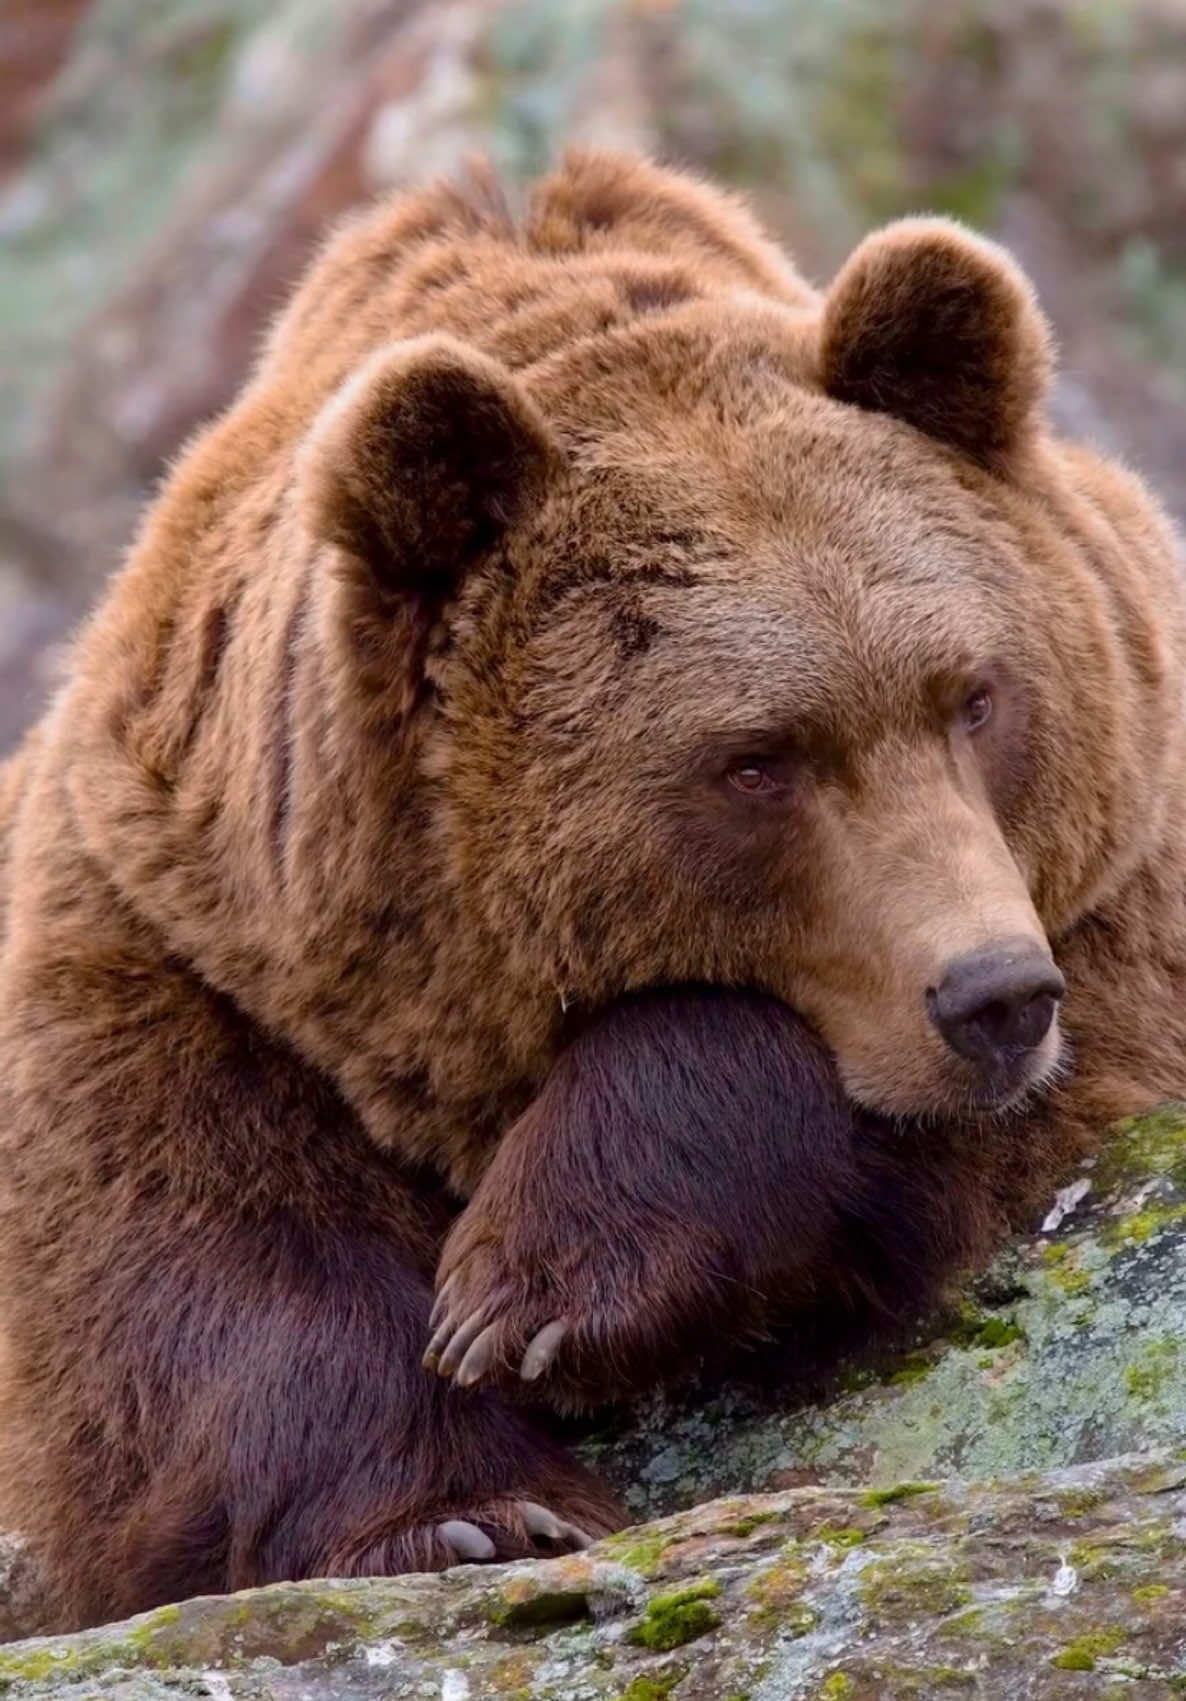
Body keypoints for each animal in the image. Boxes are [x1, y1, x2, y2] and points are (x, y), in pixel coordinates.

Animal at [2, 146, 1186, 1630]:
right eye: (755, 759)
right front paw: (468, 1508)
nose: (994, 996)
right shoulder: (182, 918)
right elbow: (176, 1247)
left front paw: (539, 1286)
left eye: (974, 694)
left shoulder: (1121, 871)